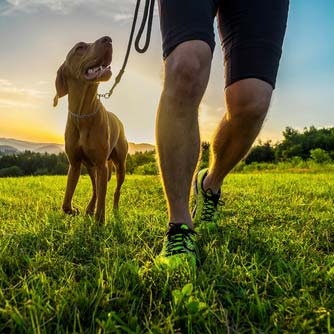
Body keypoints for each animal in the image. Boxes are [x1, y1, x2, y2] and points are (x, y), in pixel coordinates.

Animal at [53, 35, 128, 223]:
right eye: (79, 47)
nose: (108, 39)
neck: (83, 113)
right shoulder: (75, 164)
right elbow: (65, 203)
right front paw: (74, 210)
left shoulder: (101, 164)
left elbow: (103, 199)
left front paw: (100, 221)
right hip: (90, 167)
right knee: (95, 189)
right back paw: (89, 208)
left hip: (119, 165)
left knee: (115, 190)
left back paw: (114, 209)